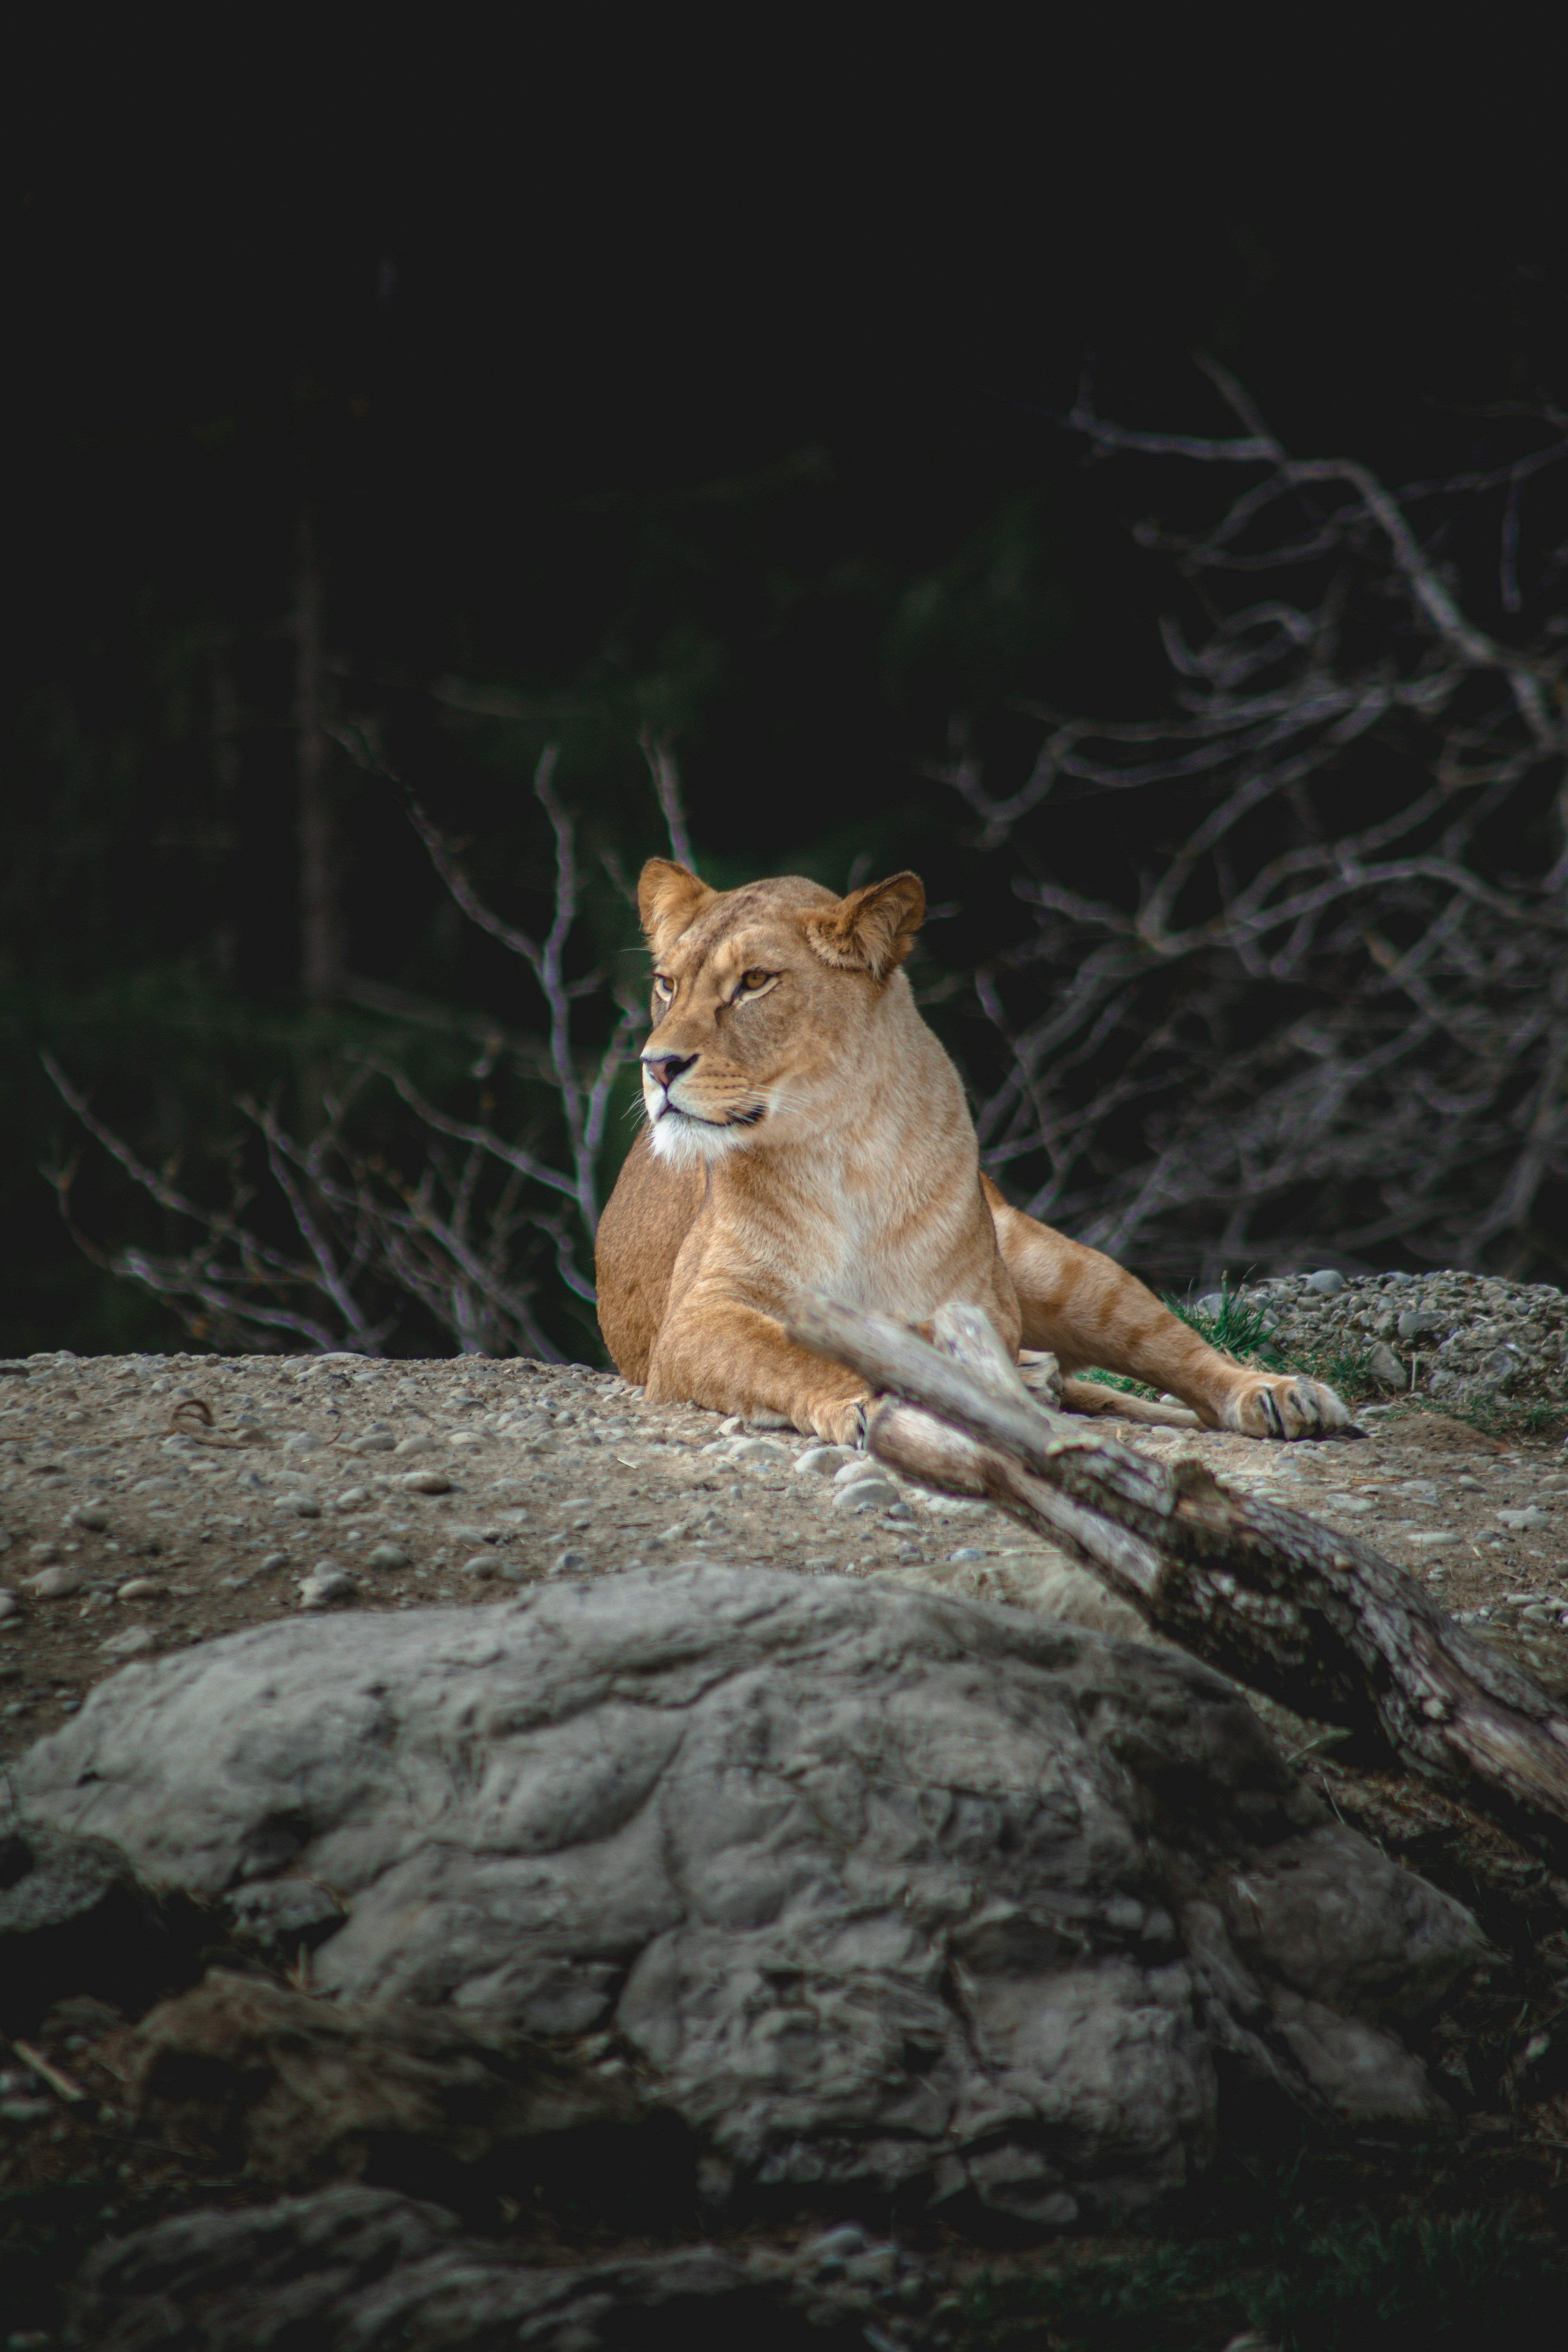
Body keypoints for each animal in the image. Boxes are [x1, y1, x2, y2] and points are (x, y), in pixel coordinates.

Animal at [594, 861, 1351, 1446]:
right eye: (667, 983)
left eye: (754, 981)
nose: (657, 1066)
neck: (842, 1151)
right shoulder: (696, 1320)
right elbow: (790, 1353)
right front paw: (876, 1392)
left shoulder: (979, 1302)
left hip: (1061, 1269)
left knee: (1179, 1352)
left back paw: (1276, 1393)